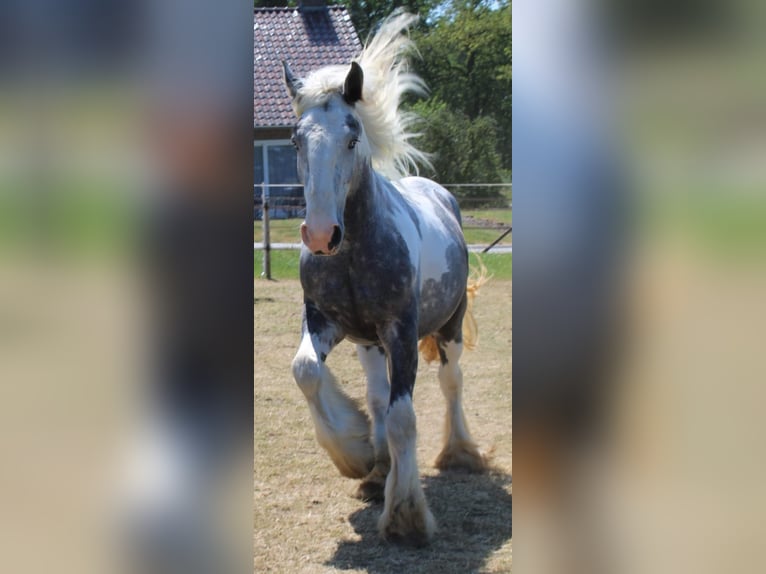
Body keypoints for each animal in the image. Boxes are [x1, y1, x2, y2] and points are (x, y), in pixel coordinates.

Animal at [284, 11, 488, 548]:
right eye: (295, 140)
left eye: (352, 137)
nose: (320, 234)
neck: (355, 252)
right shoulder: (326, 323)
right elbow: (307, 372)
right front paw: (355, 455)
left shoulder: (400, 332)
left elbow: (403, 417)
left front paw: (406, 515)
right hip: (367, 342)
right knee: (377, 396)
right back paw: (377, 471)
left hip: (447, 327)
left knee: (451, 382)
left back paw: (460, 454)